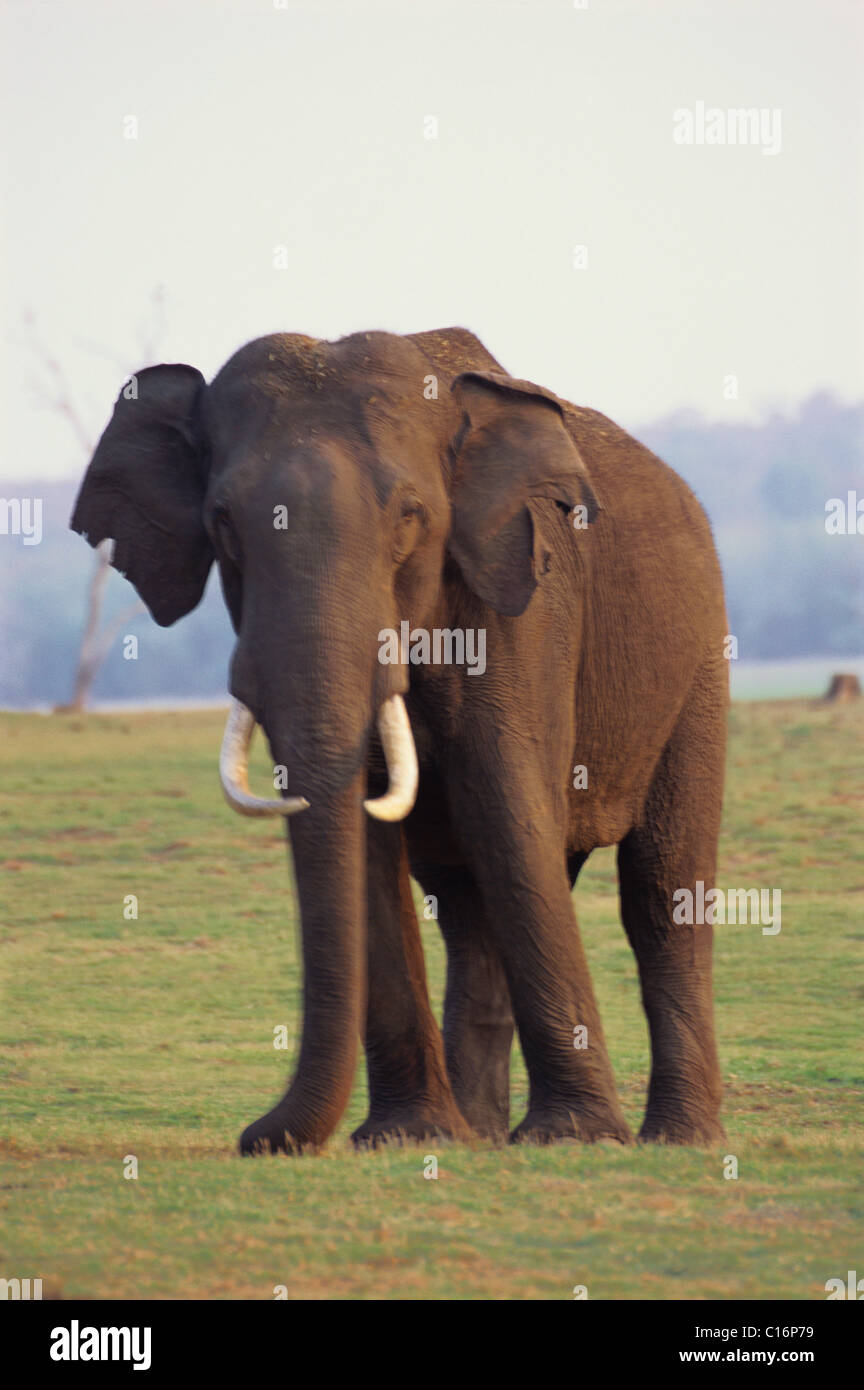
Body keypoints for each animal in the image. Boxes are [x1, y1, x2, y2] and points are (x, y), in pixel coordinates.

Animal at [71, 325, 733, 1150]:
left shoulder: (524, 604)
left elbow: (510, 813)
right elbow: (375, 837)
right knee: (466, 908)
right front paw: (409, 1139)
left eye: (412, 516)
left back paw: (679, 1139)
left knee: (661, 891)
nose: (256, 1136)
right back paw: (478, 1134)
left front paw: (573, 1139)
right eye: (221, 521)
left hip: (700, 660)